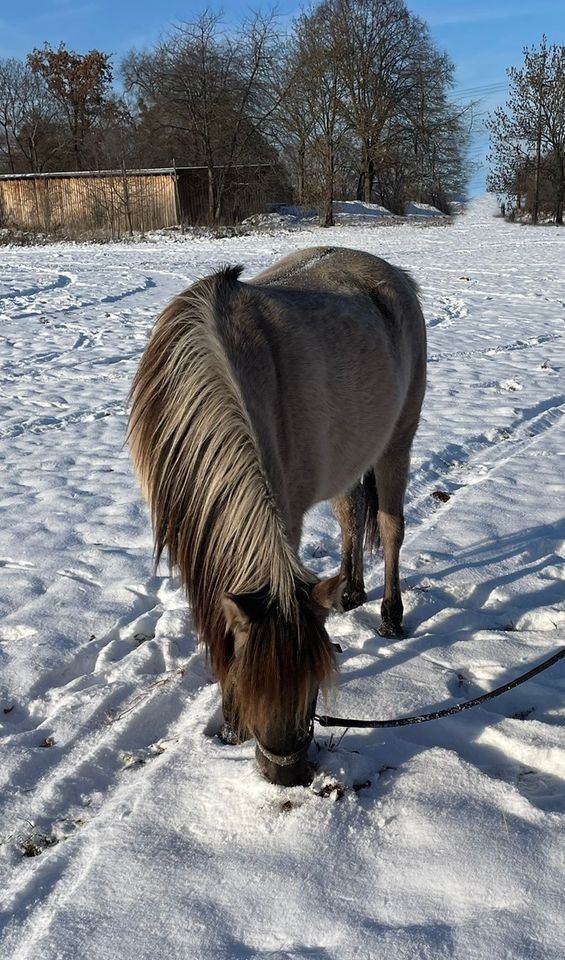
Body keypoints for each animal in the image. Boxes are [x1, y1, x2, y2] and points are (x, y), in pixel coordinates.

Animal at [130, 246, 426, 788]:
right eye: (252, 682)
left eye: (313, 687)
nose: (287, 774)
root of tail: (389, 273)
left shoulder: (284, 511)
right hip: (348, 455)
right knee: (351, 514)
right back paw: (350, 591)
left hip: (398, 440)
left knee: (390, 527)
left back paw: (390, 617)